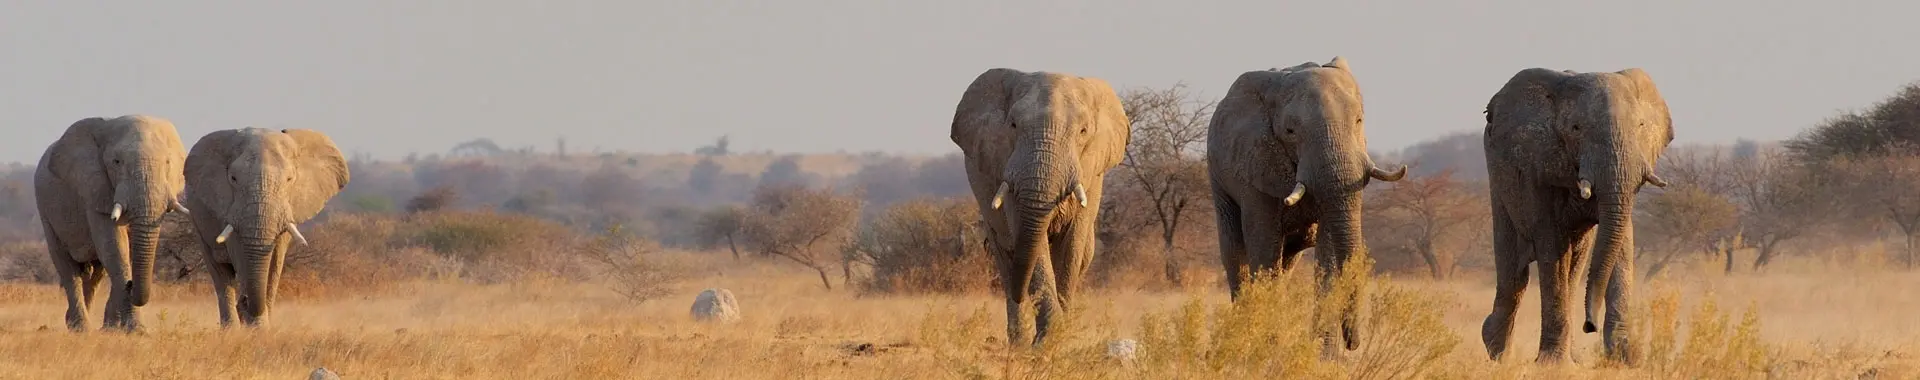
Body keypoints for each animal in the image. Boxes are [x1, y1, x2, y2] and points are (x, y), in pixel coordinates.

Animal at [30, 114, 189, 330]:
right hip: (46, 210)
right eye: (117, 162)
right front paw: (137, 331)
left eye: (167, 162)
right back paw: (80, 328)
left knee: (96, 273)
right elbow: (115, 248)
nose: (131, 285)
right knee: (67, 267)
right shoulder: (94, 190)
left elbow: (125, 252)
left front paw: (115, 329)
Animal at [183, 127, 349, 326]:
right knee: (220, 273)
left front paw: (260, 327)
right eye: (233, 178)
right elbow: (240, 254)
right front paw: (252, 321)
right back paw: (231, 329)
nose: (245, 301)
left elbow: (275, 261)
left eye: (289, 179)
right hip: (196, 218)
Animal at [952, 68, 1128, 347]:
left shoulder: (1092, 175)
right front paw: (1045, 342)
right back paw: (1019, 344)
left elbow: (1071, 245)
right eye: (1013, 126)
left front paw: (1059, 339)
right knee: (1006, 257)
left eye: (1083, 131)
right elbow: (1032, 246)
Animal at [1205, 56, 1405, 356]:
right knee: (1236, 254)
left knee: (1286, 261)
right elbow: (1263, 249)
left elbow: (1327, 256)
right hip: (1218, 180)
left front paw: (1323, 357)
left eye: (1359, 120)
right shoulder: (1254, 167)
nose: (1353, 343)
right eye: (1290, 131)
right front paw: (1268, 351)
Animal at [1474, 68, 1674, 364]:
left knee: (1574, 267)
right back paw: (1498, 353)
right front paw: (1552, 365)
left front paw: (1625, 358)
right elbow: (1551, 246)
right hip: (1498, 180)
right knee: (1515, 274)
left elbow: (1621, 241)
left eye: (1640, 126)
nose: (1589, 325)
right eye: (1576, 129)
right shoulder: (1537, 168)